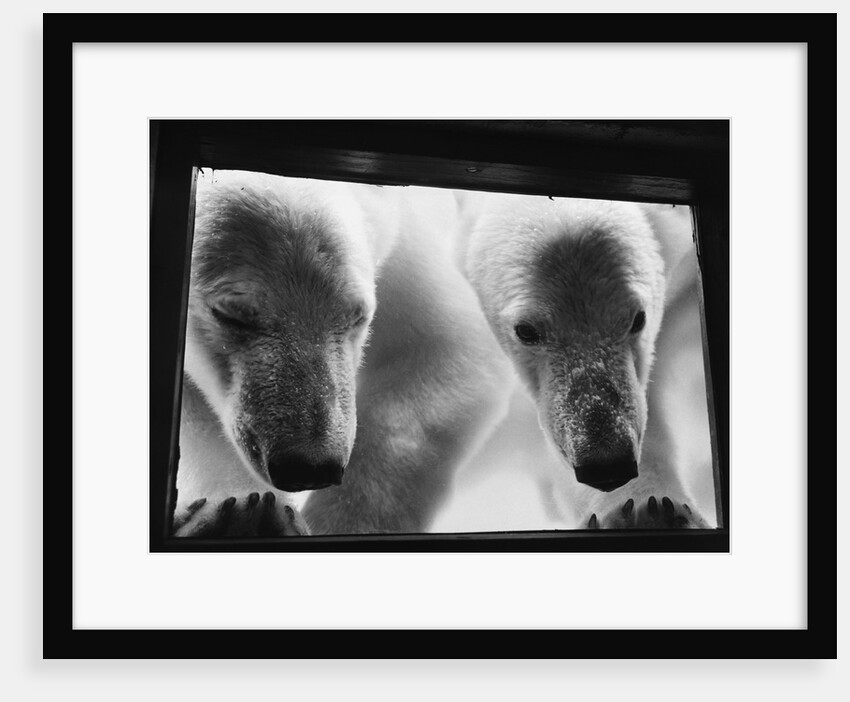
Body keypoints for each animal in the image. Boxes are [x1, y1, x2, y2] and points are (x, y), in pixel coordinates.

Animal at [172, 170, 512, 537]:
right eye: (229, 315)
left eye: (357, 315)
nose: (309, 467)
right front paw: (243, 514)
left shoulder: (400, 244)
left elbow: (447, 346)